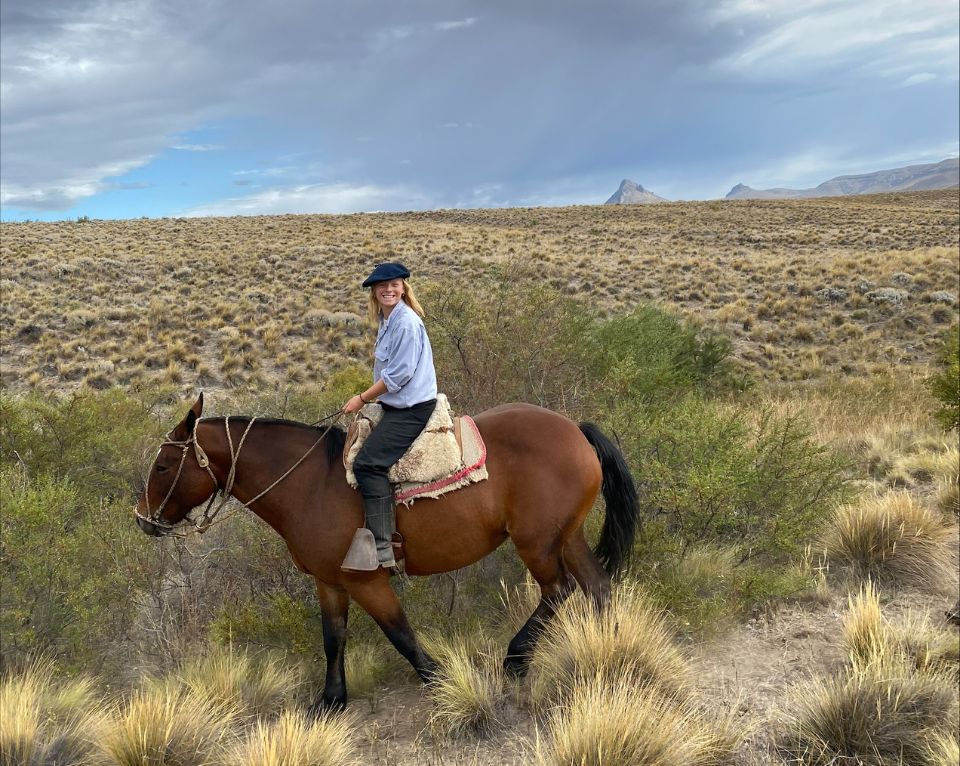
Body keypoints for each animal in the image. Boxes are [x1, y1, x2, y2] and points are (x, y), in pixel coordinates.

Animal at [134, 393, 640, 713]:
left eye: (163, 465)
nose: (143, 518)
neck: (310, 484)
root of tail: (574, 429)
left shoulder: (366, 580)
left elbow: (399, 633)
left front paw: (438, 679)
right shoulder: (329, 581)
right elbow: (333, 637)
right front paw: (330, 701)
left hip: (536, 542)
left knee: (558, 590)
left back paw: (516, 659)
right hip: (566, 537)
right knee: (597, 587)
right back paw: (608, 650)